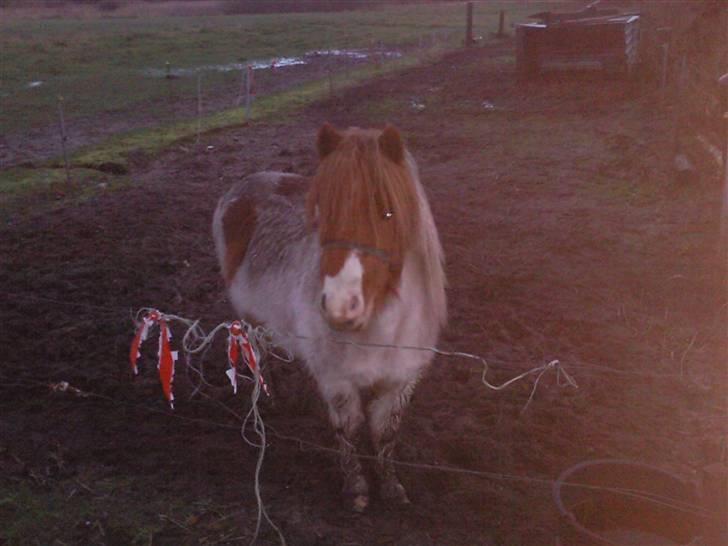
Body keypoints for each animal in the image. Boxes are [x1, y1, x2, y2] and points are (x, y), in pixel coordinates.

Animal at [213, 123, 446, 510]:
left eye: (387, 212)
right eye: (322, 213)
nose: (340, 305)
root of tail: (242, 187)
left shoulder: (400, 381)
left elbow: (385, 432)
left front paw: (391, 486)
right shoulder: (337, 379)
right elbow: (348, 427)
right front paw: (357, 488)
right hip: (249, 316)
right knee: (258, 352)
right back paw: (271, 397)